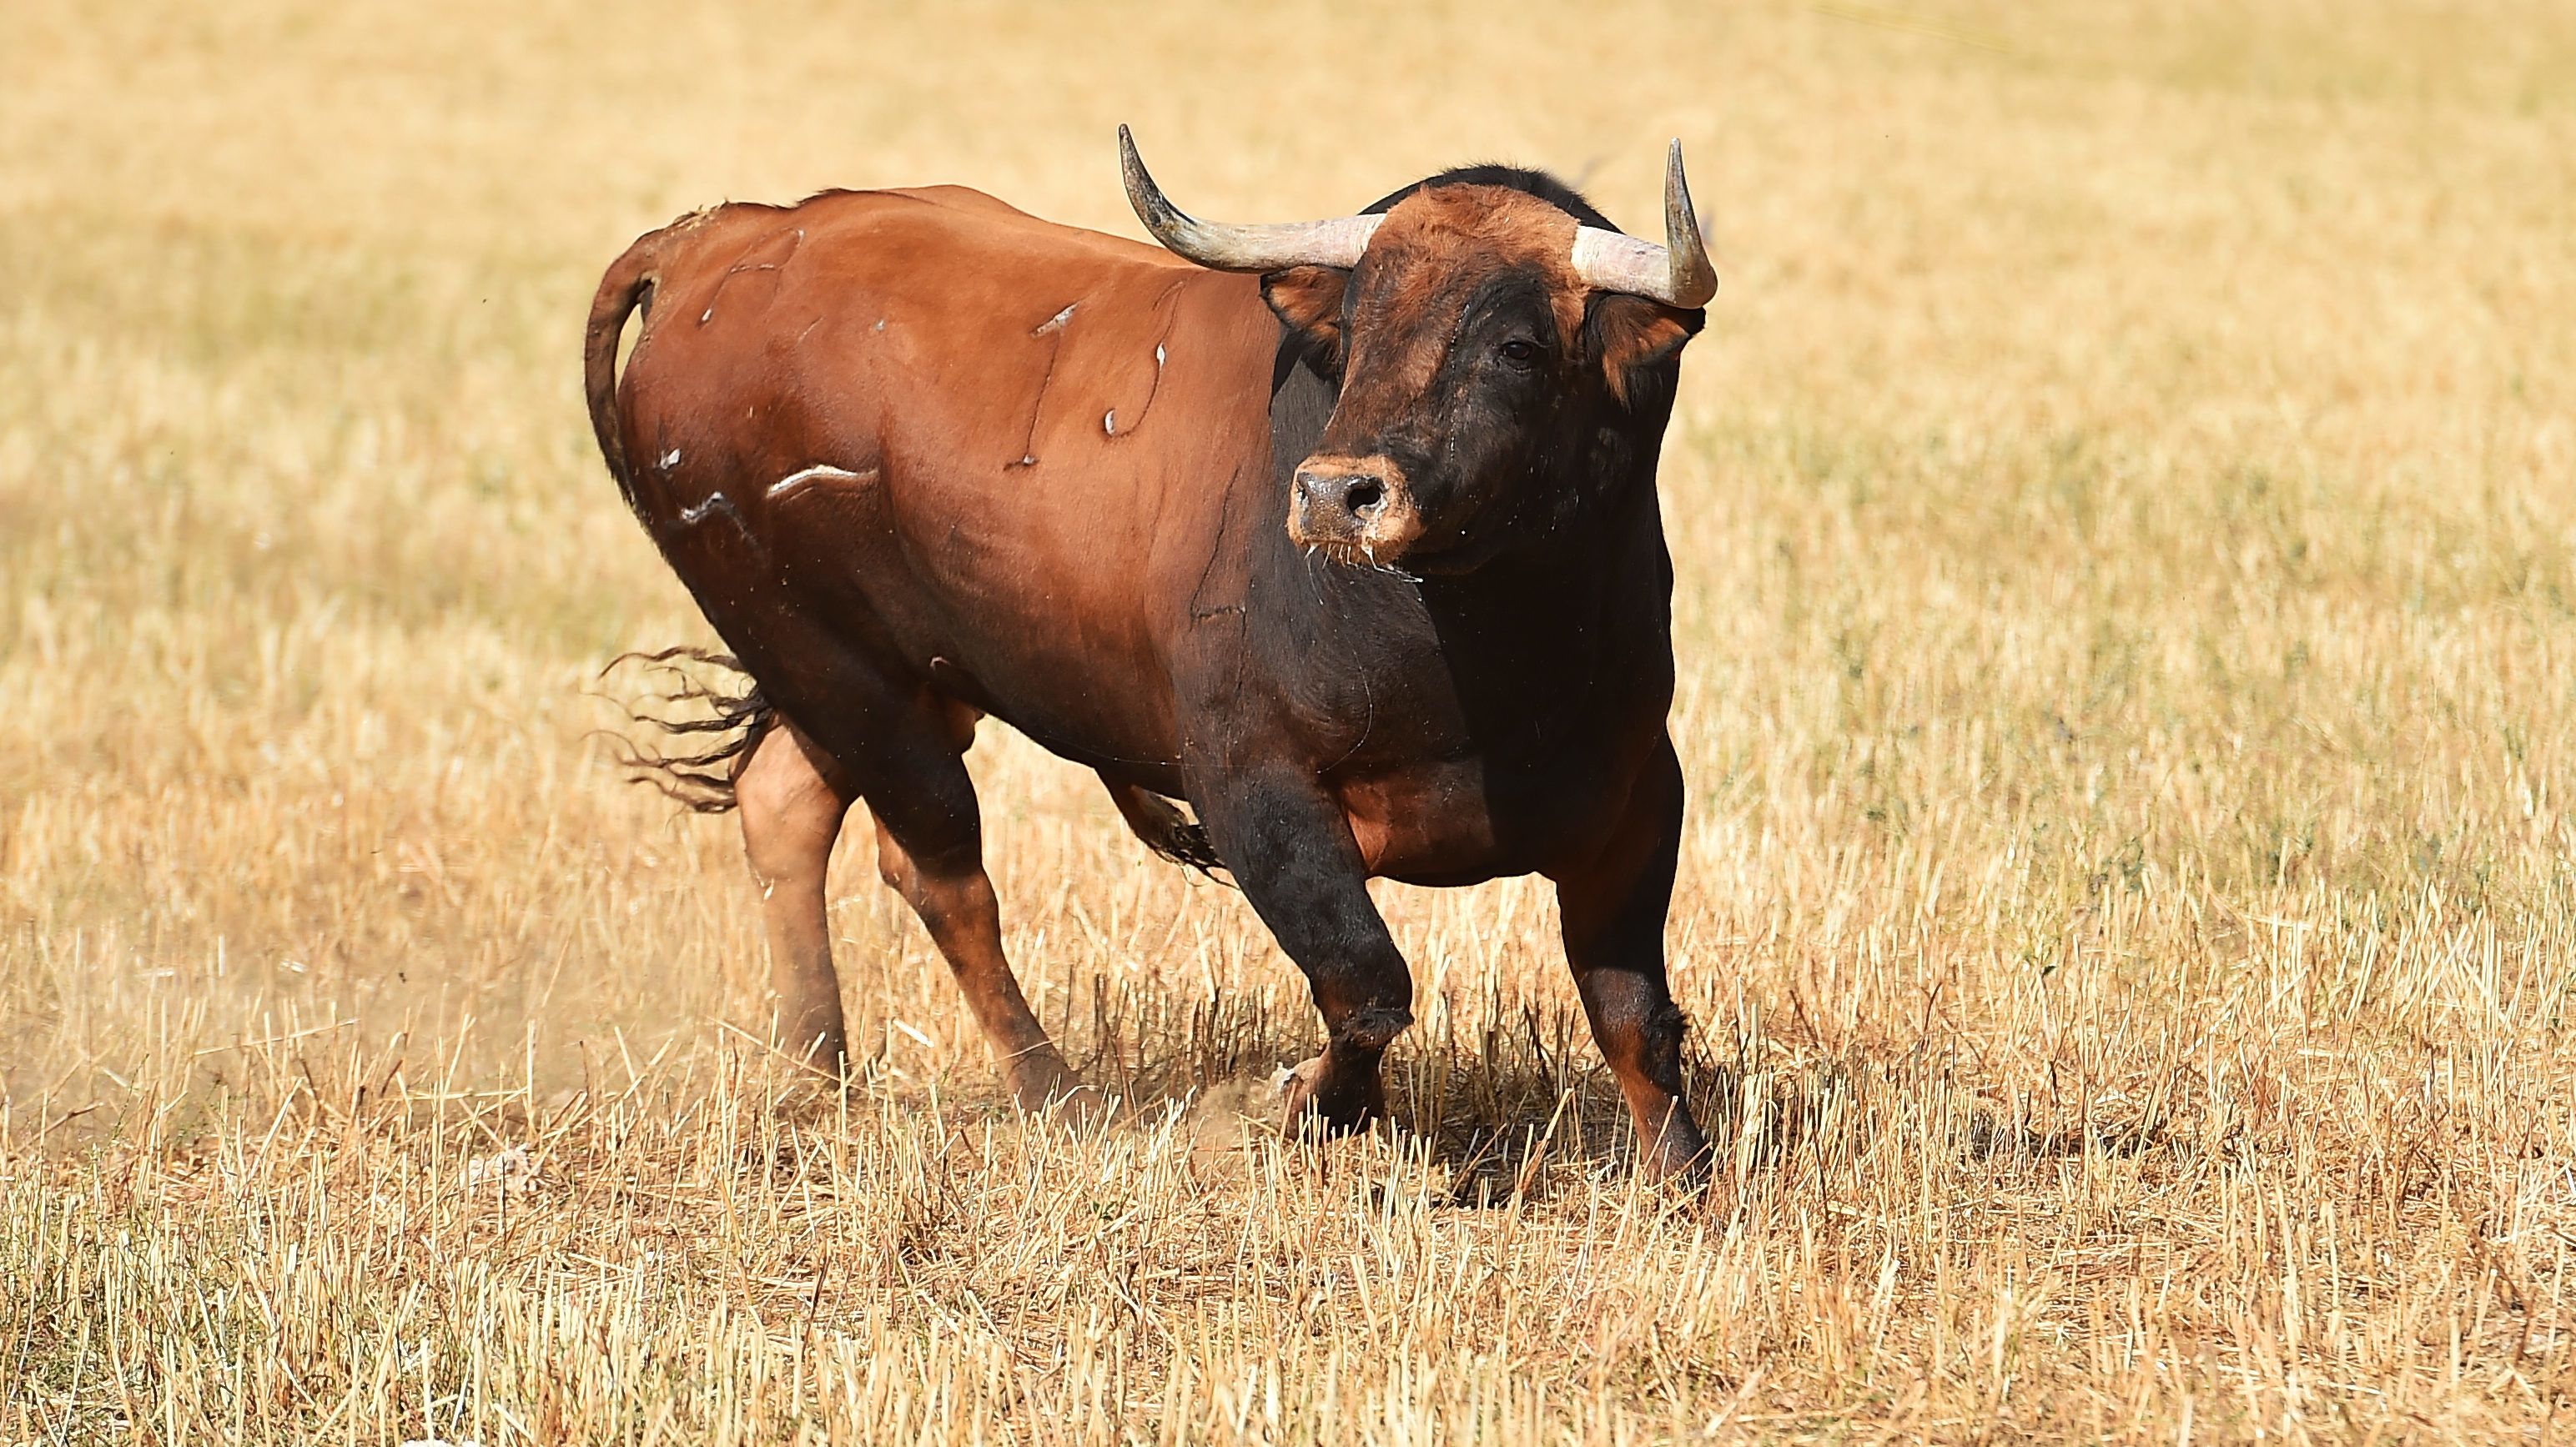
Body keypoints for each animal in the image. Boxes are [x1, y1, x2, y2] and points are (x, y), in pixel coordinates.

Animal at [579, 127, 1710, 1173]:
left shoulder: (1636, 795)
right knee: (942, 873)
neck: (1484, 661)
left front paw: (1686, 1182)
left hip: (876, 676)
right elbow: (1366, 986)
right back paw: (1049, 1089)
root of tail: (720, 240)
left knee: (788, 803)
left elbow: (1634, 1017)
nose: (1335, 494)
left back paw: (820, 1072)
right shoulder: (1255, 790)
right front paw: (1297, 1106)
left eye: (1516, 347)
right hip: (837, 668)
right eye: (1354, 328)